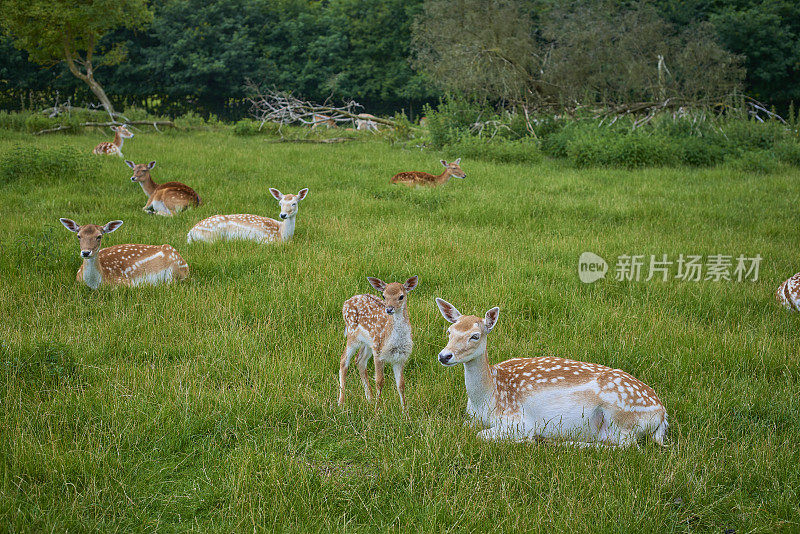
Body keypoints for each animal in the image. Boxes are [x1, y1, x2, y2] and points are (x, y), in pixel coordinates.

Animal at [338, 276, 418, 410]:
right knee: (344, 360)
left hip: (369, 343)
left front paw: (405, 412)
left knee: (360, 360)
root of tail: (346, 302)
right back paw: (341, 403)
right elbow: (380, 381)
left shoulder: (400, 357)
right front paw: (377, 410)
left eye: (401, 296)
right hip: (353, 334)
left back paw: (369, 399)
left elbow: (401, 385)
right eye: (384, 296)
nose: (389, 309)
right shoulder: (379, 354)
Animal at [434, 300, 664, 450]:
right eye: (449, 331)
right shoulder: (470, 418)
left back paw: (548, 440)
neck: (487, 398)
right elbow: (467, 427)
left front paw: (527, 439)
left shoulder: (518, 421)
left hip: (620, 418)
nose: (444, 356)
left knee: (629, 446)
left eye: (475, 336)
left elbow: (481, 435)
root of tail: (663, 415)